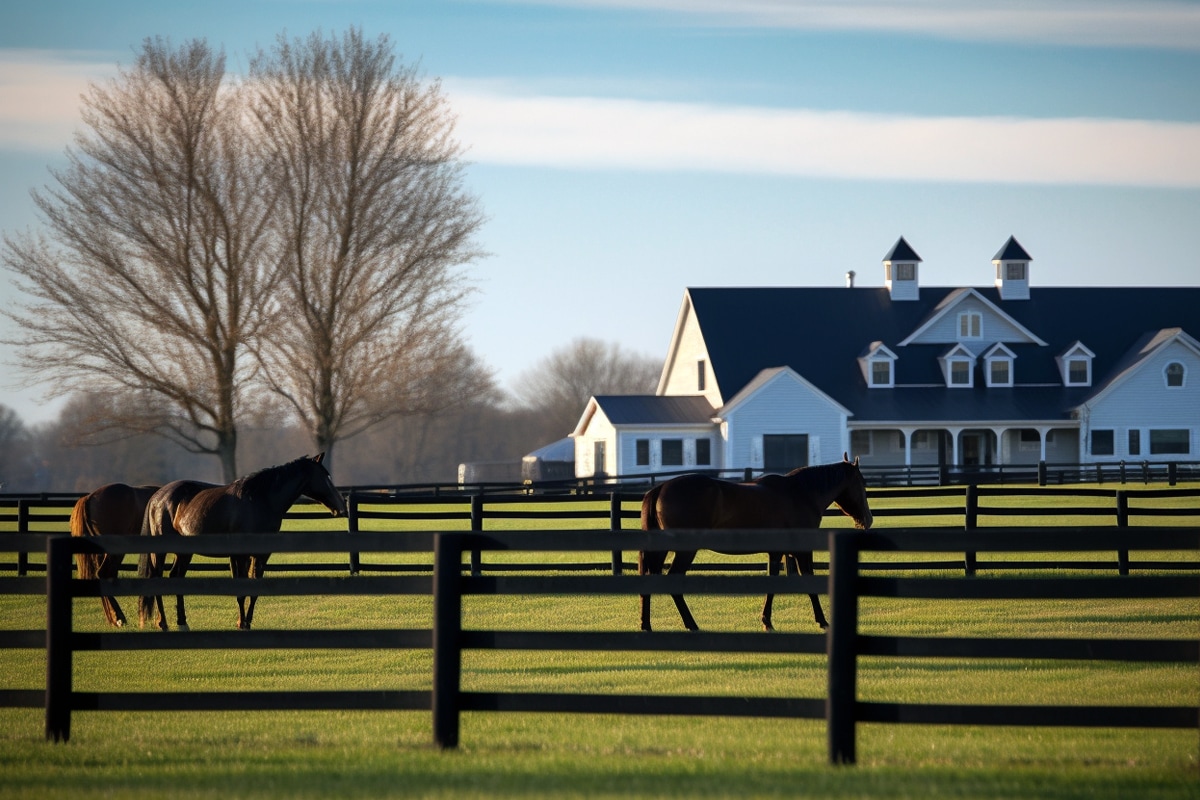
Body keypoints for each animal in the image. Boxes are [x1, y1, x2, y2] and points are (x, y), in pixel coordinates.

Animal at [141, 450, 350, 633]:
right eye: (326, 477)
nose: (342, 507)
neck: (259, 500)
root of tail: (157, 497)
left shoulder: (261, 555)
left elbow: (254, 589)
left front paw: (247, 622)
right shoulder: (238, 555)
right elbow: (241, 591)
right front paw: (241, 623)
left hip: (184, 552)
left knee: (176, 578)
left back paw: (182, 623)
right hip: (161, 551)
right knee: (158, 579)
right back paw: (163, 623)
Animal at [638, 455, 873, 633]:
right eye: (862, 483)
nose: (868, 520)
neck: (800, 493)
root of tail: (660, 488)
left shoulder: (776, 552)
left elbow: (772, 583)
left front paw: (767, 621)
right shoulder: (801, 551)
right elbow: (808, 581)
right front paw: (822, 621)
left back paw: (646, 625)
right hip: (686, 550)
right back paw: (691, 624)